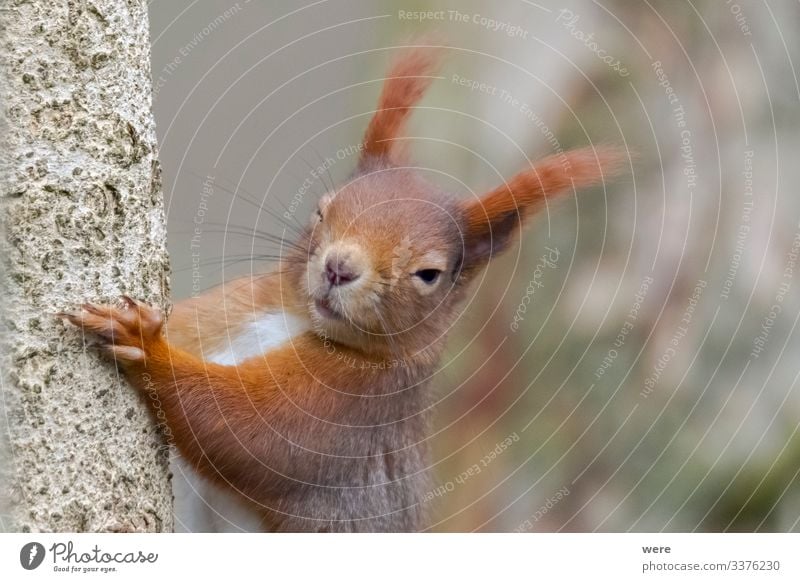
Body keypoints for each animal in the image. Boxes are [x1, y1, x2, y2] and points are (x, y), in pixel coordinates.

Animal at [64, 43, 624, 532]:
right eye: (321, 209)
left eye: (429, 274)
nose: (338, 268)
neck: (290, 319)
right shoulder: (225, 312)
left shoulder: (350, 412)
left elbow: (241, 430)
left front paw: (144, 343)